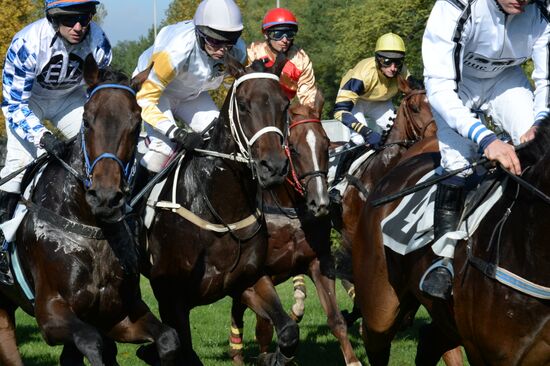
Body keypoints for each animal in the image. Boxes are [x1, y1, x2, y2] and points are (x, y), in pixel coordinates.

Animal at [0, 55, 179, 366]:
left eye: (136, 123)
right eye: (86, 120)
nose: (105, 197)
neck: (91, 227)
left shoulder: (119, 313)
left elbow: (168, 338)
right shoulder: (50, 313)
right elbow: (92, 342)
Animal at [142, 55, 298, 366]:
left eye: (284, 105)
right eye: (244, 105)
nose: (274, 167)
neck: (220, 212)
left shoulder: (248, 280)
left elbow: (288, 331)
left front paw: (274, 357)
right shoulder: (171, 296)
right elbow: (182, 350)